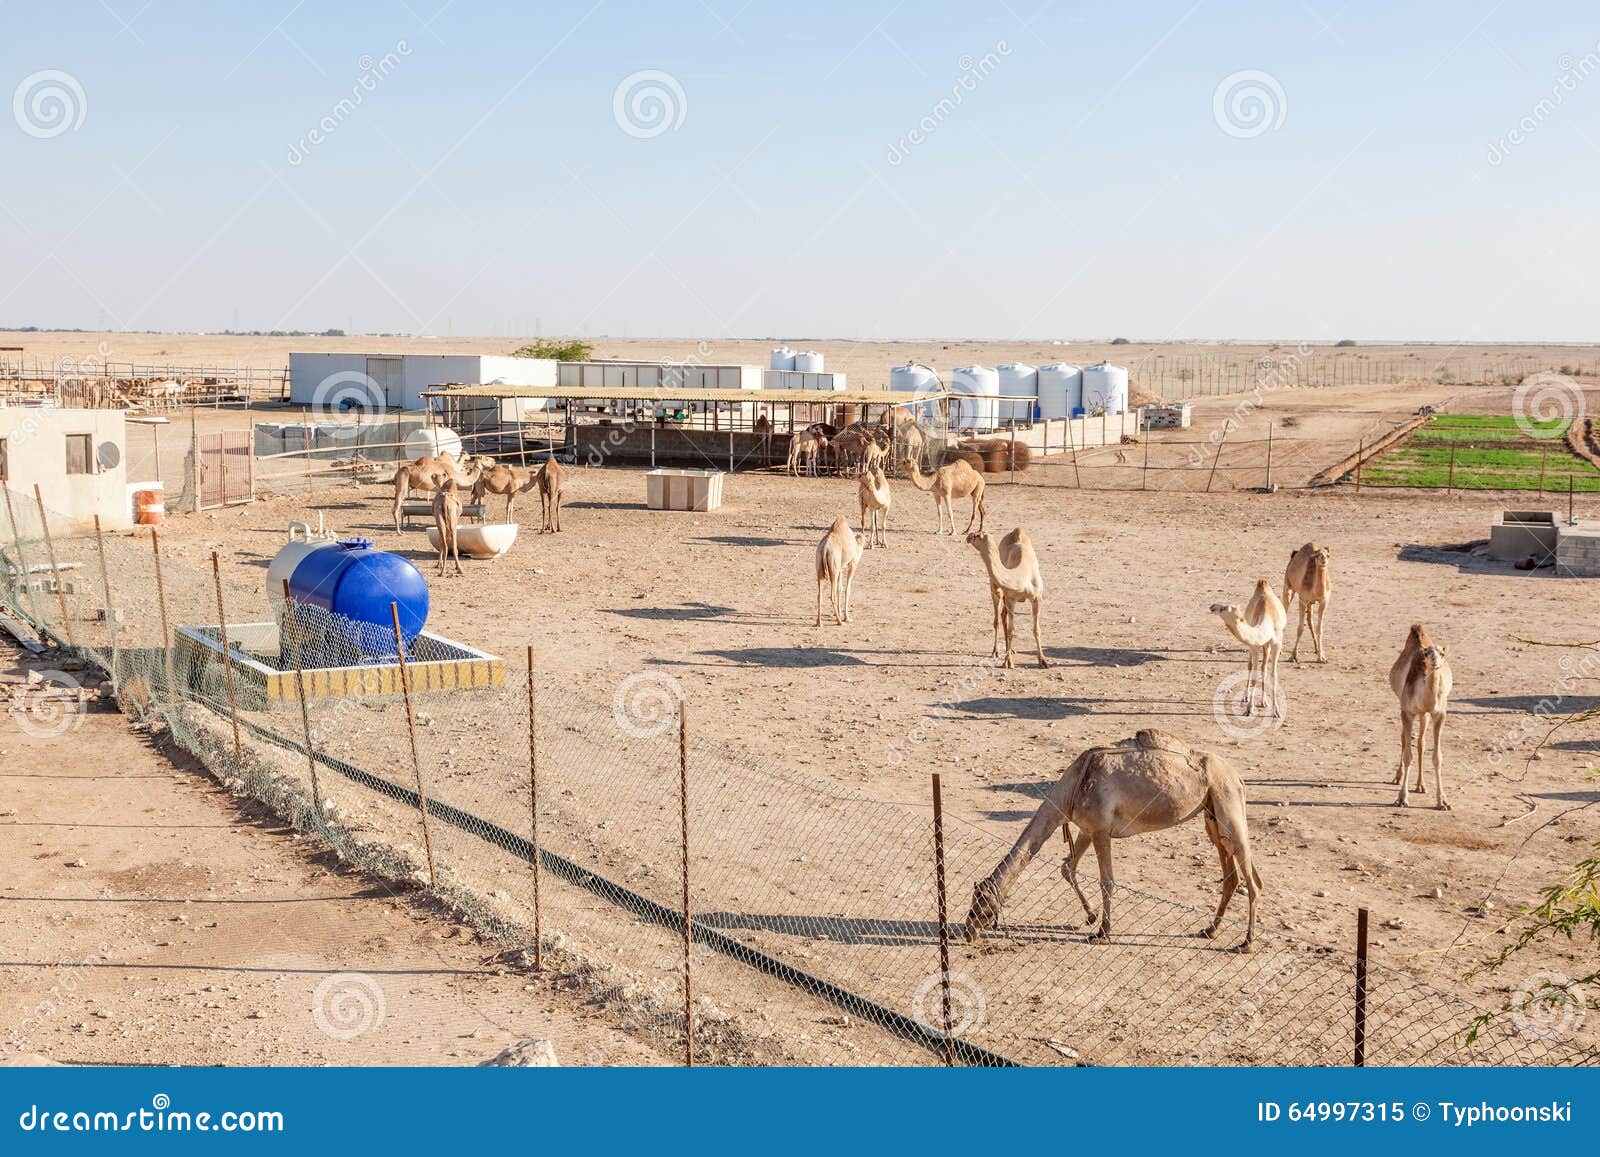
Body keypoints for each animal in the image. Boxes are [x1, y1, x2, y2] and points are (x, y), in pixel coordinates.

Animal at [964, 730, 1262, 952]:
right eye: (973, 901)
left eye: (981, 907)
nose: (967, 931)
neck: (1072, 786)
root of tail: (1238, 776)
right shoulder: (1087, 828)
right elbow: (1067, 867)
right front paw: (1091, 916)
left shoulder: (1100, 831)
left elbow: (1106, 881)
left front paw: (1102, 933)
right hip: (1211, 815)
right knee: (1231, 874)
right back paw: (1210, 930)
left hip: (1227, 800)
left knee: (1252, 878)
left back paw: (1246, 943)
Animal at [966, 528, 1047, 669]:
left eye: (976, 535)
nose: (967, 537)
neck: (1021, 576)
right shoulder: (1010, 599)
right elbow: (1011, 630)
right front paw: (1008, 661)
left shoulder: (1037, 598)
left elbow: (1036, 629)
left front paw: (1042, 660)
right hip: (996, 590)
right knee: (997, 619)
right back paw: (995, 651)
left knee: (1003, 616)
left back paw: (1011, 649)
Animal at [1210, 579, 1288, 719]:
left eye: (1224, 608)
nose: (1212, 606)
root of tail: (1263, 582)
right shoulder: (1254, 645)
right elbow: (1254, 675)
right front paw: (1249, 709)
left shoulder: (1277, 643)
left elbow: (1273, 674)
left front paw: (1276, 711)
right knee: (1251, 665)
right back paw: (1246, 697)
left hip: (1267, 645)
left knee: (1264, 667)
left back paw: (1264, 701)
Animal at [1389, 624, 1453, 809]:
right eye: (1426, 654)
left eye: (1442, 654)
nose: (1435, 662)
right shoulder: (1407, 712)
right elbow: (1407, 754)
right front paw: (1402, 798)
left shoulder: (1439, 714)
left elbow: (1437, 757)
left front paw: (1443, 801)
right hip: (1404, 704)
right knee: (1404, 739)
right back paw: (1398, 777)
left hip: (1424, 714)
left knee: (1420, 743)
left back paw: (1420, 785)